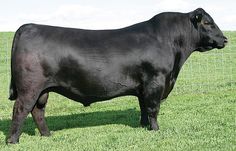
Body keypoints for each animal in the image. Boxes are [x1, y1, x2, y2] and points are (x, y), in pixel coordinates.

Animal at [6, 8, 227, 144]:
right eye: (208, 22)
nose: (225, 39)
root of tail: (29, 26)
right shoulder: (156, 81)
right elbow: (153, 108)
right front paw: (155, 130)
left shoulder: (143, 86)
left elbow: (143, 107)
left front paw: (144, 126)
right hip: (30, 87)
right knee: (21, 109)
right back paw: (12, 141)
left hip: (43, 89)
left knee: (37, 111)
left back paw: (47, 135)